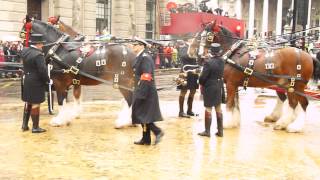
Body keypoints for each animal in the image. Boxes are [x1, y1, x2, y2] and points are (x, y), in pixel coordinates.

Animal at [188, 20, 320, 132]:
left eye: (208, 35)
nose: (198, 54)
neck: (234, 53)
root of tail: (308, 55)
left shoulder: (231, 84)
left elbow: (230, 104)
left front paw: (227, 123)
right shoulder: (235, 84)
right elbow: (236, 104)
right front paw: (235, 122)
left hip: (298, 85)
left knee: (302, 103)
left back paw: (295, 126)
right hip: (289, 85)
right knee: (292, 102)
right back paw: (282, 123)